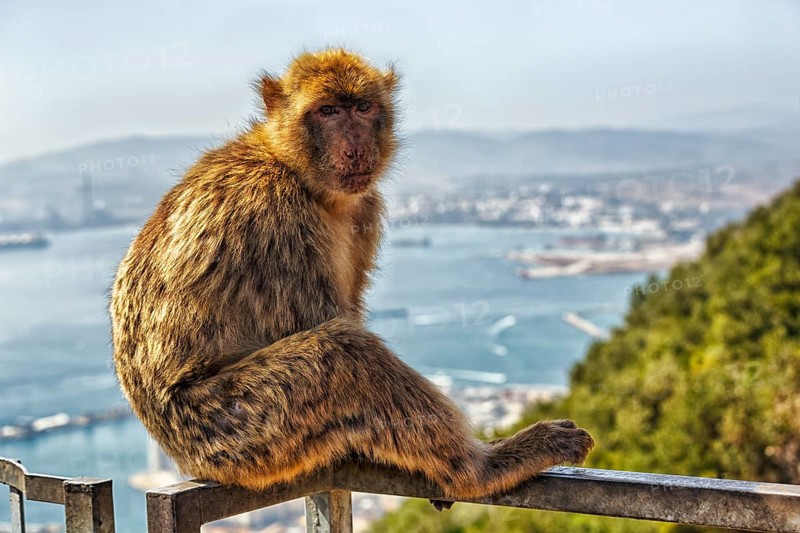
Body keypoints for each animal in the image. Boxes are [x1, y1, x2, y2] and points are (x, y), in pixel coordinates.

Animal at [110, 48, 594, 504]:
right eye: (327, 111)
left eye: (361, 108)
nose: (356, 146)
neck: (296, 172)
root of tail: (180, 453)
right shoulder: (274, 216)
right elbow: (320, 324)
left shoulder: (366, 209)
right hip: (232, 427)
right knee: (342, 351)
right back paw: (480, 469)